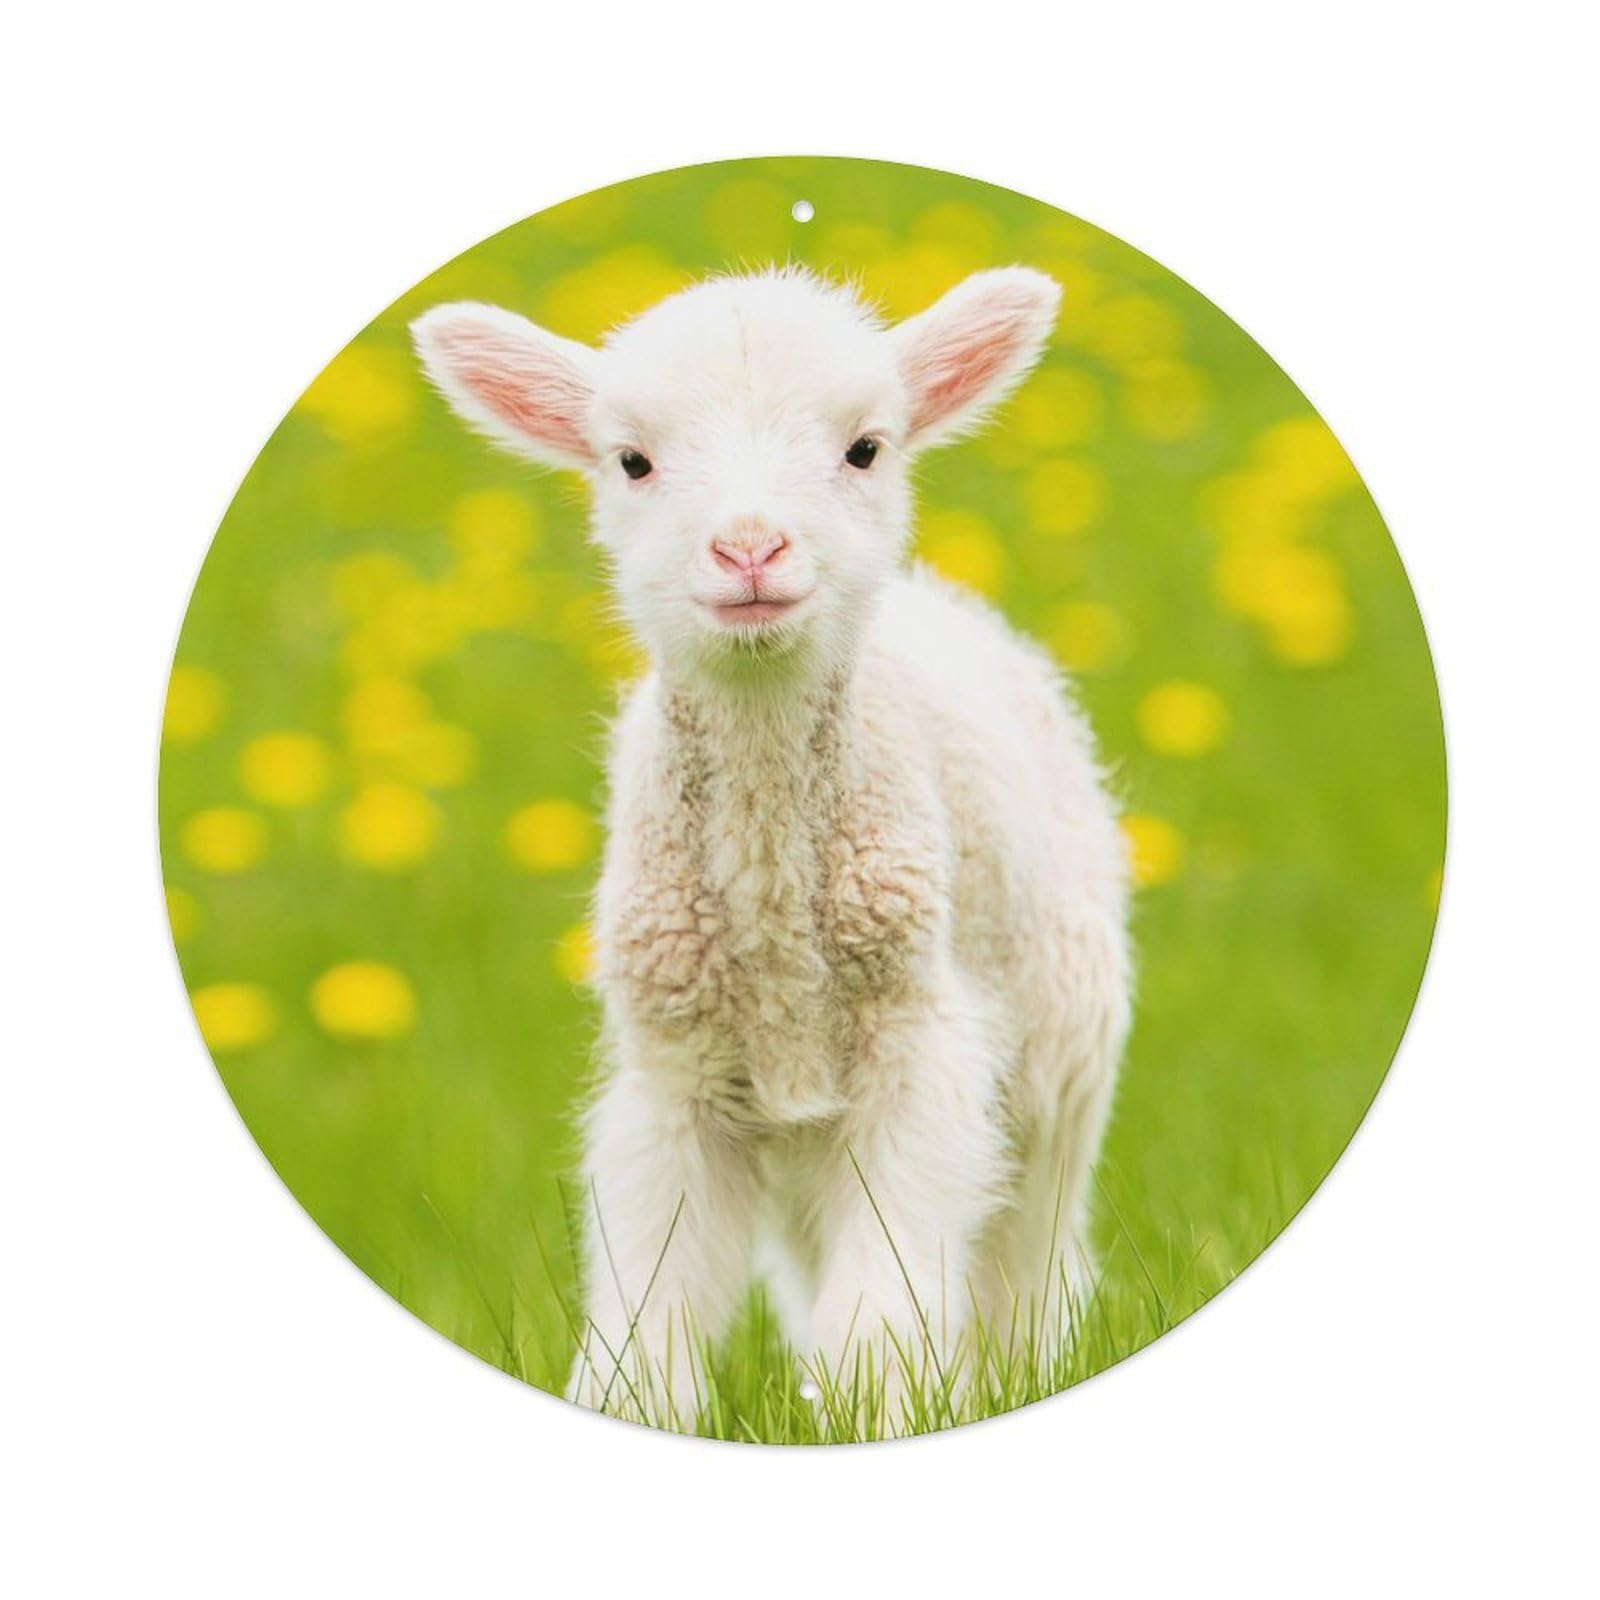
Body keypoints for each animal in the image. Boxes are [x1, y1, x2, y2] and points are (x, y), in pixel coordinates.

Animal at [413, 264, 1131, 1428]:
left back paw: (1012, 1373)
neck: (773, 913)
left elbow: (884, 1302)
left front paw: (879, 1416)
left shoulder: (916, 1044)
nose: (750, 549)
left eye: (865, 448)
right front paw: (651, 1413)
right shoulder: (674, 1076)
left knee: (1029, 1260)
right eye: (632, 459)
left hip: (1061, 1041)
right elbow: (650, 1309)